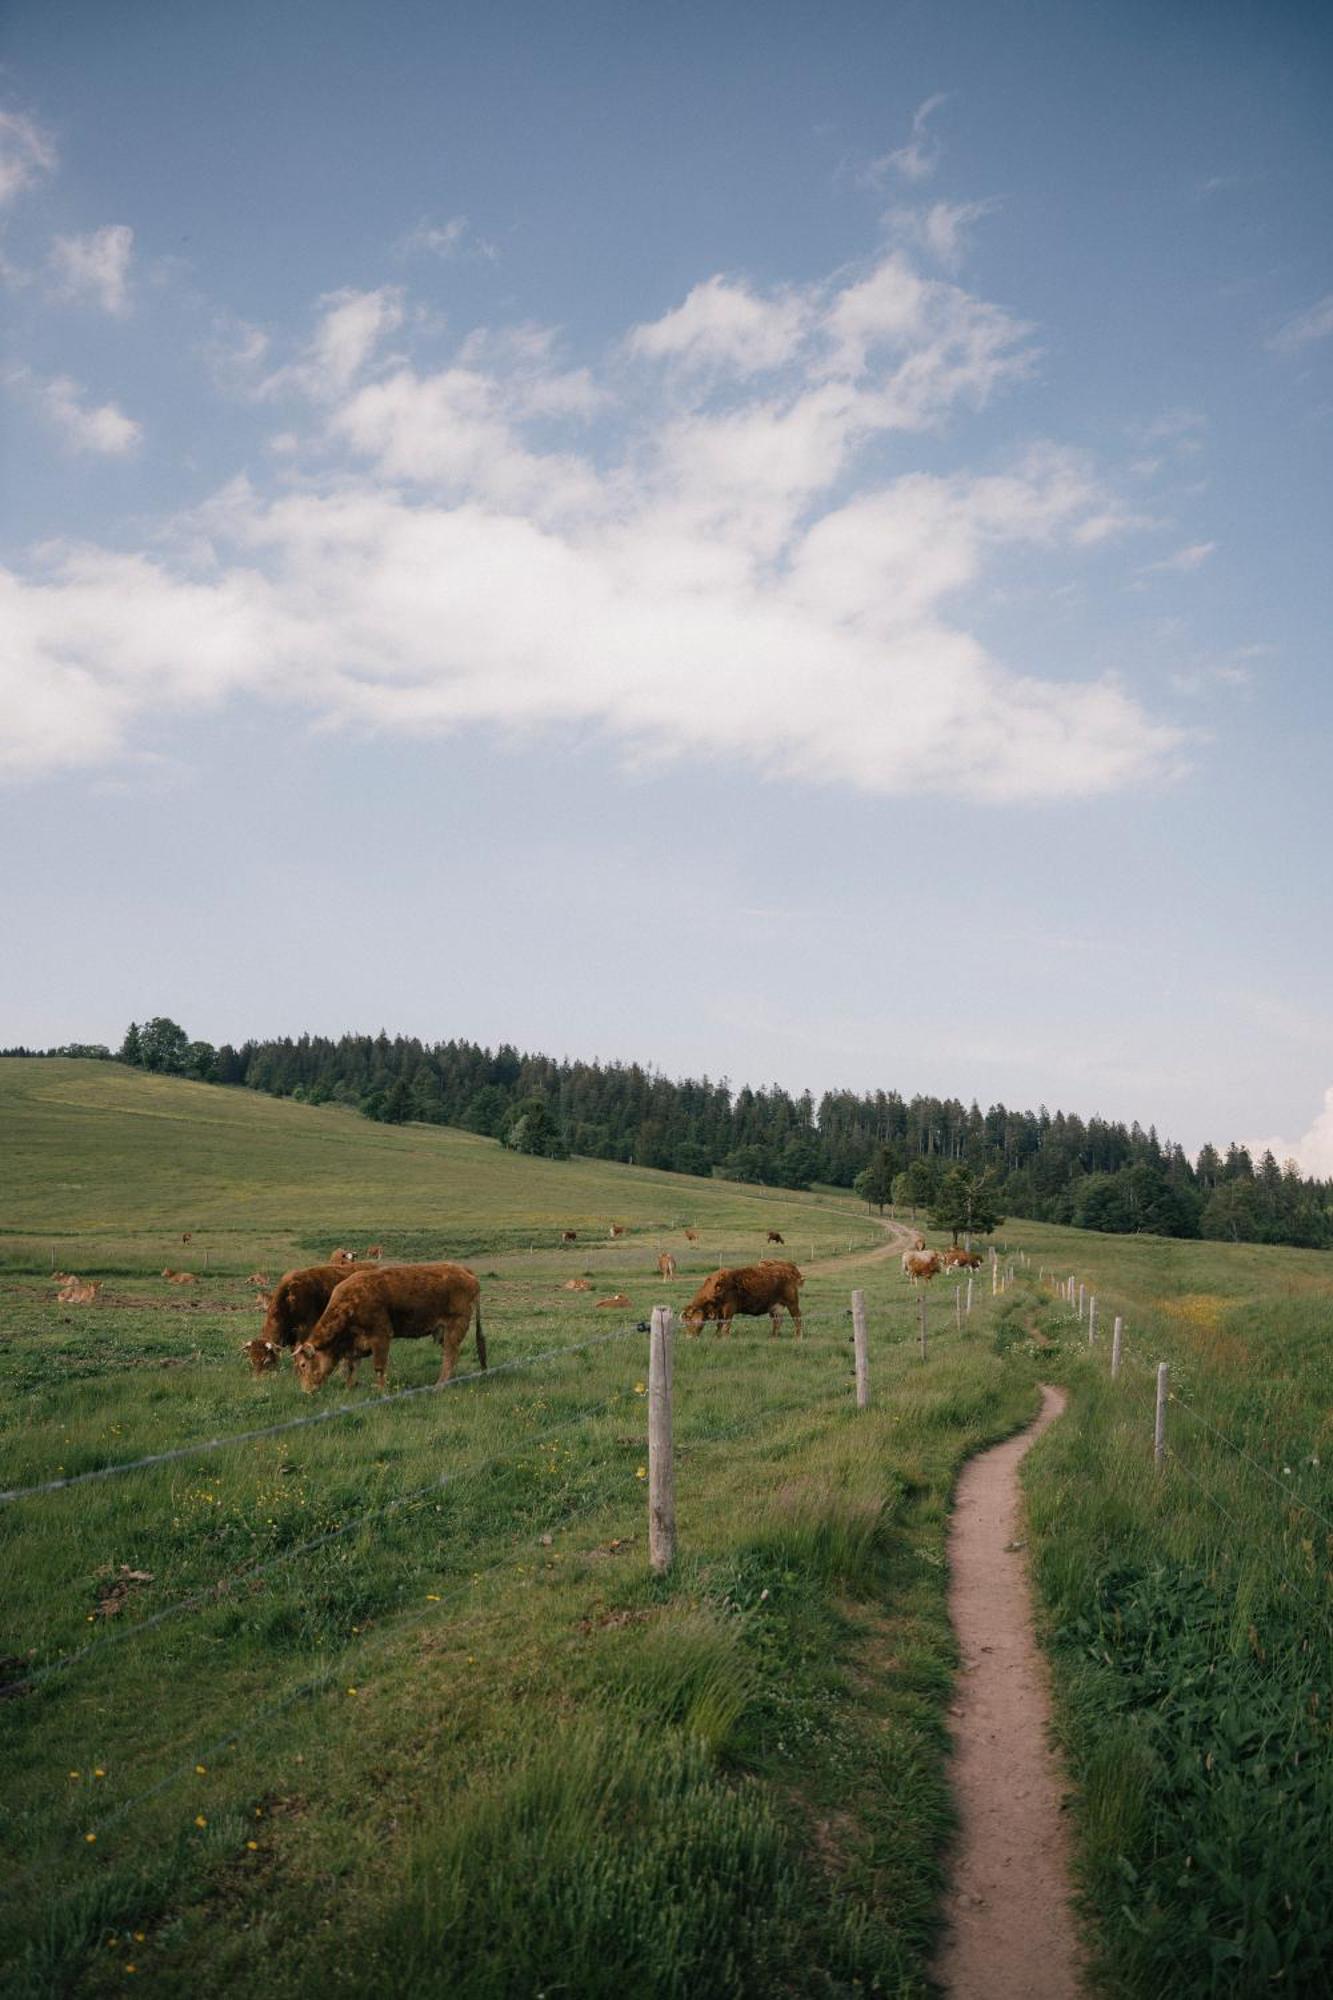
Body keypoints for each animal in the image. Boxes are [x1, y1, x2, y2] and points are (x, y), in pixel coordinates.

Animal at [288, 1264, 486, 1392]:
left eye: (303, 1365)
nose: (306, 1391)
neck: (349, 1304)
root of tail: (465, 1272)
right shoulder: (354, 1345)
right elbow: (352, 1367)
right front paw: (349, 1388)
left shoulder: (381, 1336)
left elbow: (379, 1367)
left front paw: (381, 1391)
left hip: (455, 1327)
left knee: (450, 1357)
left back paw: (440, 1385)